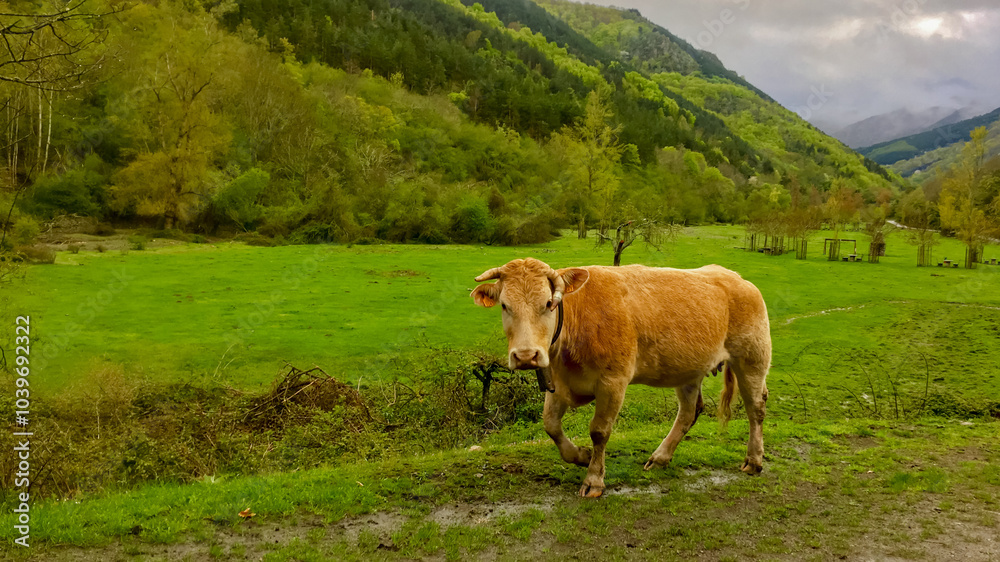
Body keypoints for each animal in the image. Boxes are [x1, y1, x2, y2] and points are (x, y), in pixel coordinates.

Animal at [471, 258, 771, 498]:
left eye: (548, 303)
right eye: (505, 305)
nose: (526, 355)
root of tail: (736, 278)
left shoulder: (613, 382)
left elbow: (599, 431)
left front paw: (594, 480)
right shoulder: (559, 383)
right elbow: (551, 425)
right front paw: (580, 455)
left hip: (752, 359)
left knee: (755, 408)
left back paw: (754, 460)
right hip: (688, 369)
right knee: (689, 412)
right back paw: (660, 457)